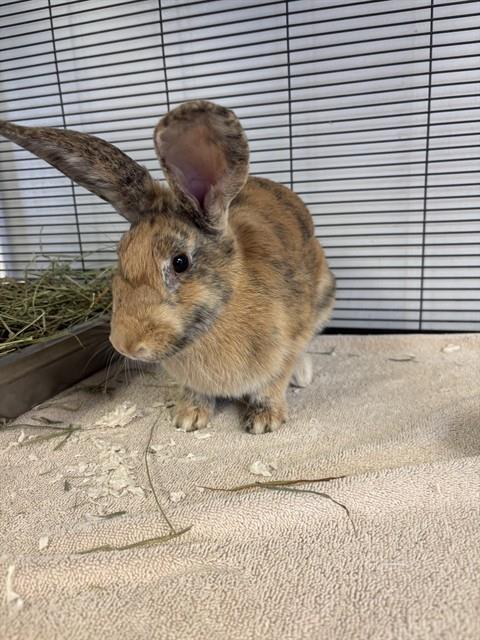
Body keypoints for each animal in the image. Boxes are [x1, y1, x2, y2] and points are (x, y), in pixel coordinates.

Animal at [0, 101, 335, 434]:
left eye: (180, 262)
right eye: (120, 252)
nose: (126, 345)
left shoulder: (284, 349)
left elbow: (271, 386)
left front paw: (264, 422)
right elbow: (196, 393)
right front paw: (189, 418)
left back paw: (302, 375)